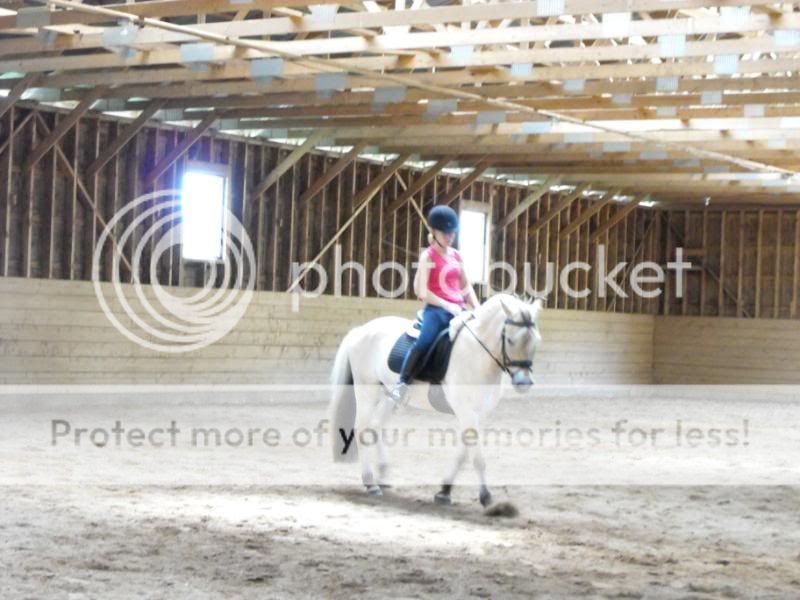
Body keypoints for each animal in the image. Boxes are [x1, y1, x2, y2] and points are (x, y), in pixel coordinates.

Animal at [326, 294, 544, 506]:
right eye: (510, 340)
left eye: (536, 341)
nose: (523, 382)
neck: (478, 353)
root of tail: (360, 330)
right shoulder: (465, 410)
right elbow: (477, 457)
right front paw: (485, 496)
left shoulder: (479, 414)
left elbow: (463, 454)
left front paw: (444, 491)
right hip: (367, 391)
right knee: (362, 428)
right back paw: (370, 483)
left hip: (389, 395)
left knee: (375, 426)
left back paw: (382, 475)